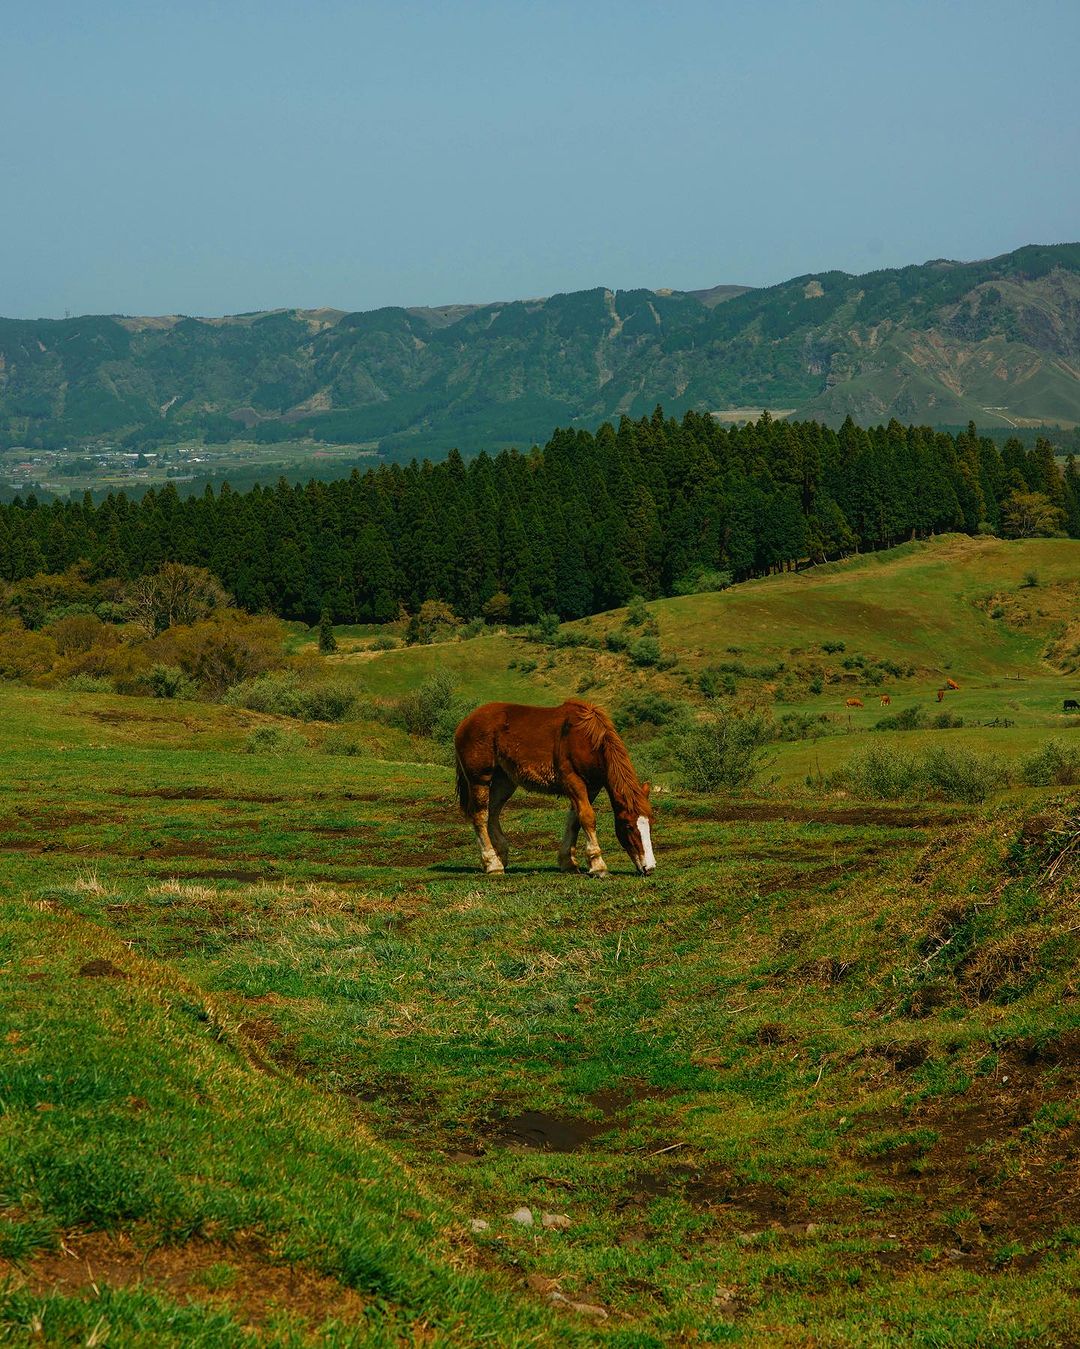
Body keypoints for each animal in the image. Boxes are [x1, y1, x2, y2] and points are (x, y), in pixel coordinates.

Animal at [450, 701, 652, 879]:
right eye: (628, 826)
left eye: (650, 823)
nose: (649, 868)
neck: (585, 739)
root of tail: (465, 723)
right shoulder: (573, 782)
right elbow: (587, 818)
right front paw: (598, 866)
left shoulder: (591, 787)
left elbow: (575, 821)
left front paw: (568, 863)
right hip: (479, 779)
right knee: (480, 816)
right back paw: (492, 864)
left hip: (504, 781)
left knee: (492, 812)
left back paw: (501, 856)